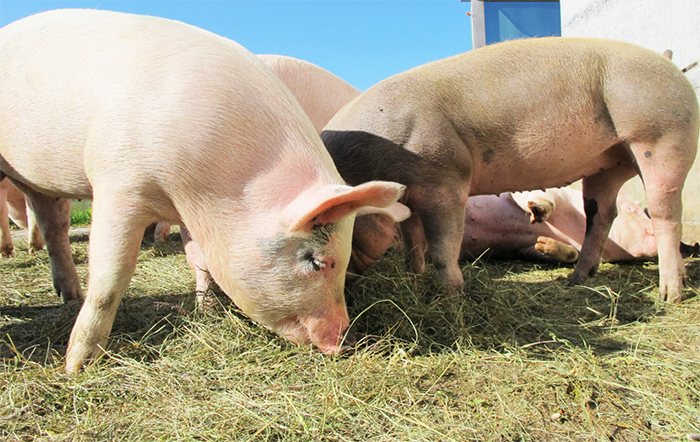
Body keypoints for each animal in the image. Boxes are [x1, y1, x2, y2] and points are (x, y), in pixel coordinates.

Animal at [0, 9, 410, 372]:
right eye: (318, 262)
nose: (344, 342)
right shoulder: (120, 183)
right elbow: (111, 275)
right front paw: (76, 367)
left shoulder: (189, 209)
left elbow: (198, 258)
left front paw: (206, 309)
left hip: (38, 183)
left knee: (53, 223)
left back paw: (69, 295)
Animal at [324, 37, 700, 304]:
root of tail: (669, 64)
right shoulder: (411, 196)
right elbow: (412, 244)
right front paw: (413, 282)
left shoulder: (444, 181)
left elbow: (442, 247)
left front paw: (452, 296)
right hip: (610, 163)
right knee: (602, 214)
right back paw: (577, 280)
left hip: (661, 135)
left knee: (666, 211)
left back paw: (670, 296)